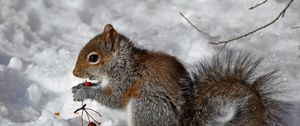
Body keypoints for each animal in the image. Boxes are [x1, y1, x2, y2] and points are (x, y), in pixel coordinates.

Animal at [71, 23, 290, 126]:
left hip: (146, 106)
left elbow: (113, 99)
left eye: (93, 58)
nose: (74, 73)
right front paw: (78, 88)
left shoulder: (126, 81)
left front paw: (84, 92)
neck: (123, 63)